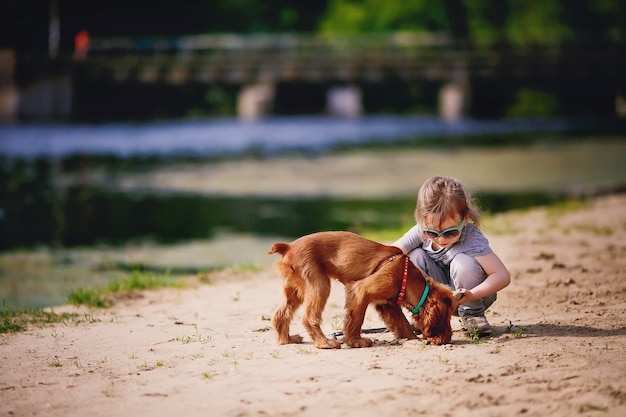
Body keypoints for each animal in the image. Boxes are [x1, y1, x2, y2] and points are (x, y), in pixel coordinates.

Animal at [266, 231, 454, 348]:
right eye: (445, 318)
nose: (447, 338)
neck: (406, 277)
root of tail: (288, 246)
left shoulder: (387, 305)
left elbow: (402, 324)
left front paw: (412, 339)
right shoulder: (360, 291)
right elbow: (356, 319)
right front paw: (355, 341)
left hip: (295, 289)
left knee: (280, 314)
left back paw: (287, 340)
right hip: (319, 284)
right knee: (308, 317)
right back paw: (324, 343)